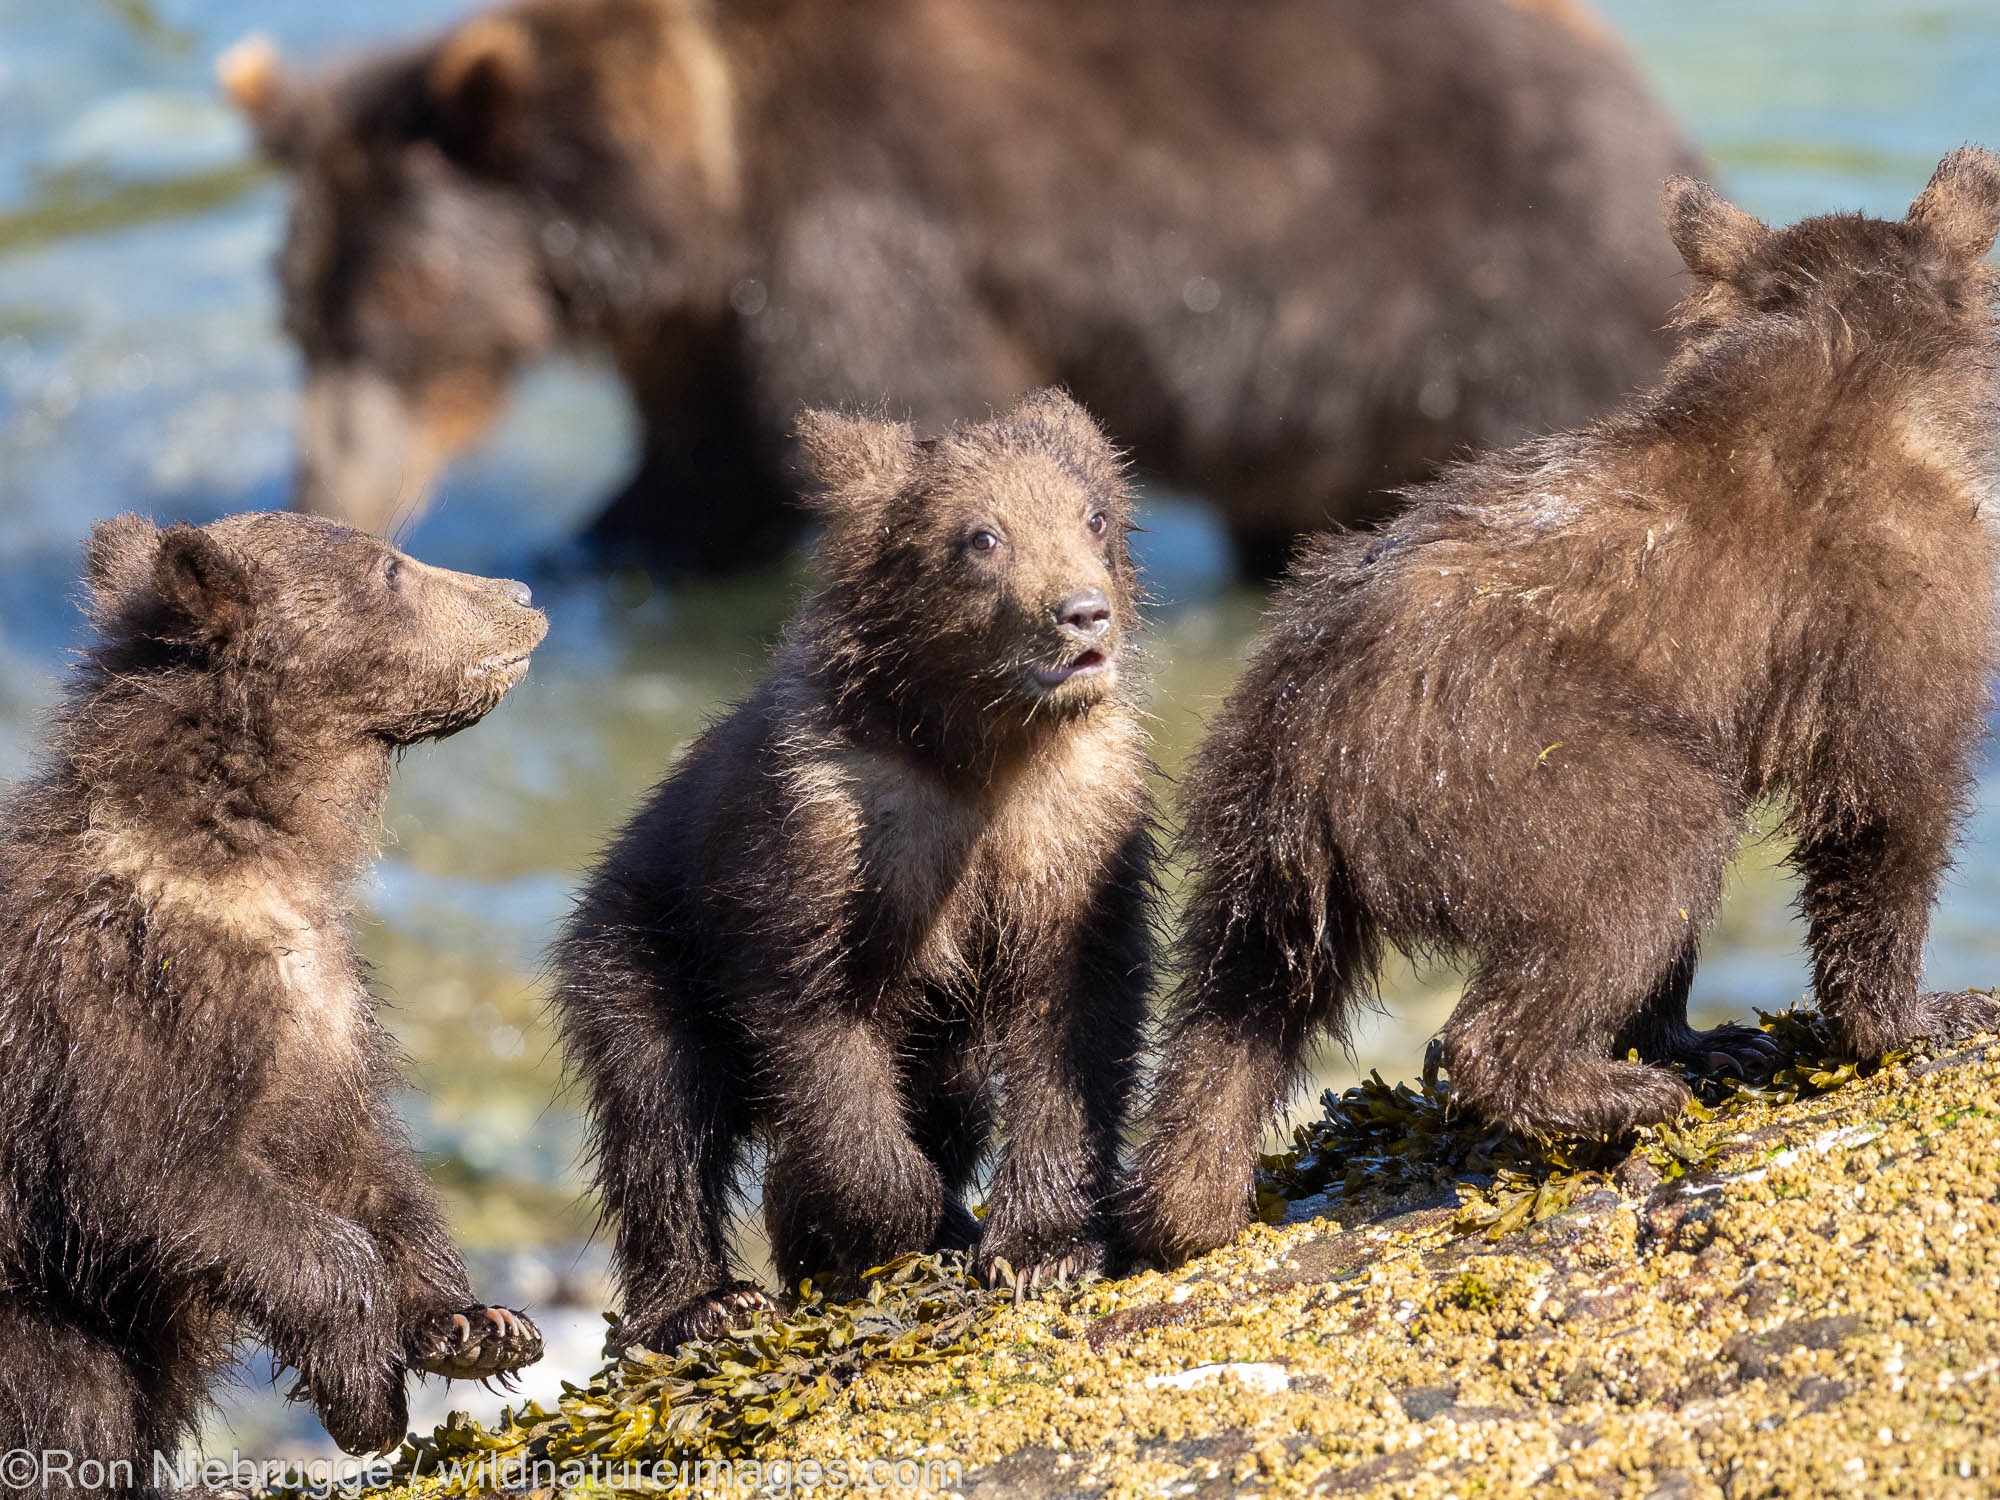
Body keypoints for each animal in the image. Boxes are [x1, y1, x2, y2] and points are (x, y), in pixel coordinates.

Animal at [227, 0, 1696, 576]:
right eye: (296, 314)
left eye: (406, 299)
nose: (327, 483)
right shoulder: (702, 319)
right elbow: (690, 473)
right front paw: (587, 548)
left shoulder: (864, 219)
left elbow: (869, 415)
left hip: (1476, 296)